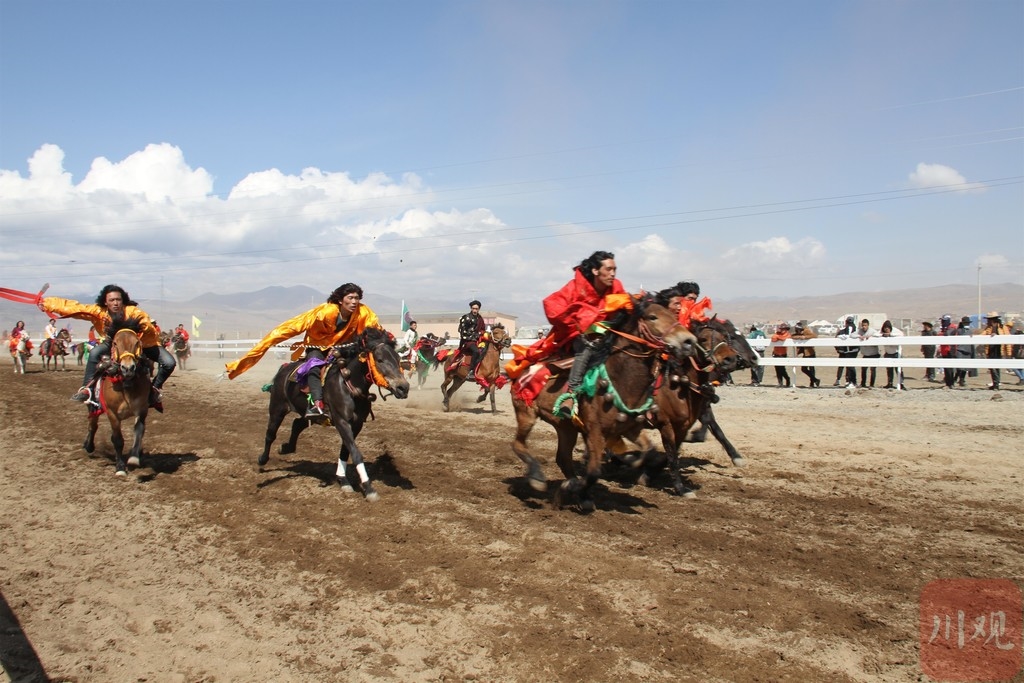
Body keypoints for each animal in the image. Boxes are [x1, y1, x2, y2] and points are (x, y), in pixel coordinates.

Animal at [84, 321, 151, 475]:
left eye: (136, 342)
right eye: (115, 343)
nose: (128, 368)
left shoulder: (142, 409)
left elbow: (139, 431)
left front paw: (134, 457)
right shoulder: (112, 414)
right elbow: (118, 440)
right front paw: (120, 467)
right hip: (94, 407)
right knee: (93, 425)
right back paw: (88, 445)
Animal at [258, 327, 409, 501]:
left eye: (398, 358)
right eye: (379, 359)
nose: (403, 388)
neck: (348, 385)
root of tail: (283, 369)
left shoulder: (356, 424)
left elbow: (345, 451)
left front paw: (343, 480)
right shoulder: (341, 421)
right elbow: (356, 453)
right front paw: (368, 488)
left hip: (310, 415)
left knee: (297, 424)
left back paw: (286, 448)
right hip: (277, 408)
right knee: (270, 434)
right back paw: (262, 460)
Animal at [509, 299, 696, 511]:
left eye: (674, 315)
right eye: (652, 317)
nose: (688, 341)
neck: (620, 380)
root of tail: (522, 368)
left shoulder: (630, 429)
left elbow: (650, 451)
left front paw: (628, 461)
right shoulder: (594, 431)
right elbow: (593, 471)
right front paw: (573, 490)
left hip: (566, 427)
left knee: (563, 458)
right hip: (526, 413)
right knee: (518, 444)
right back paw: (538, 478)